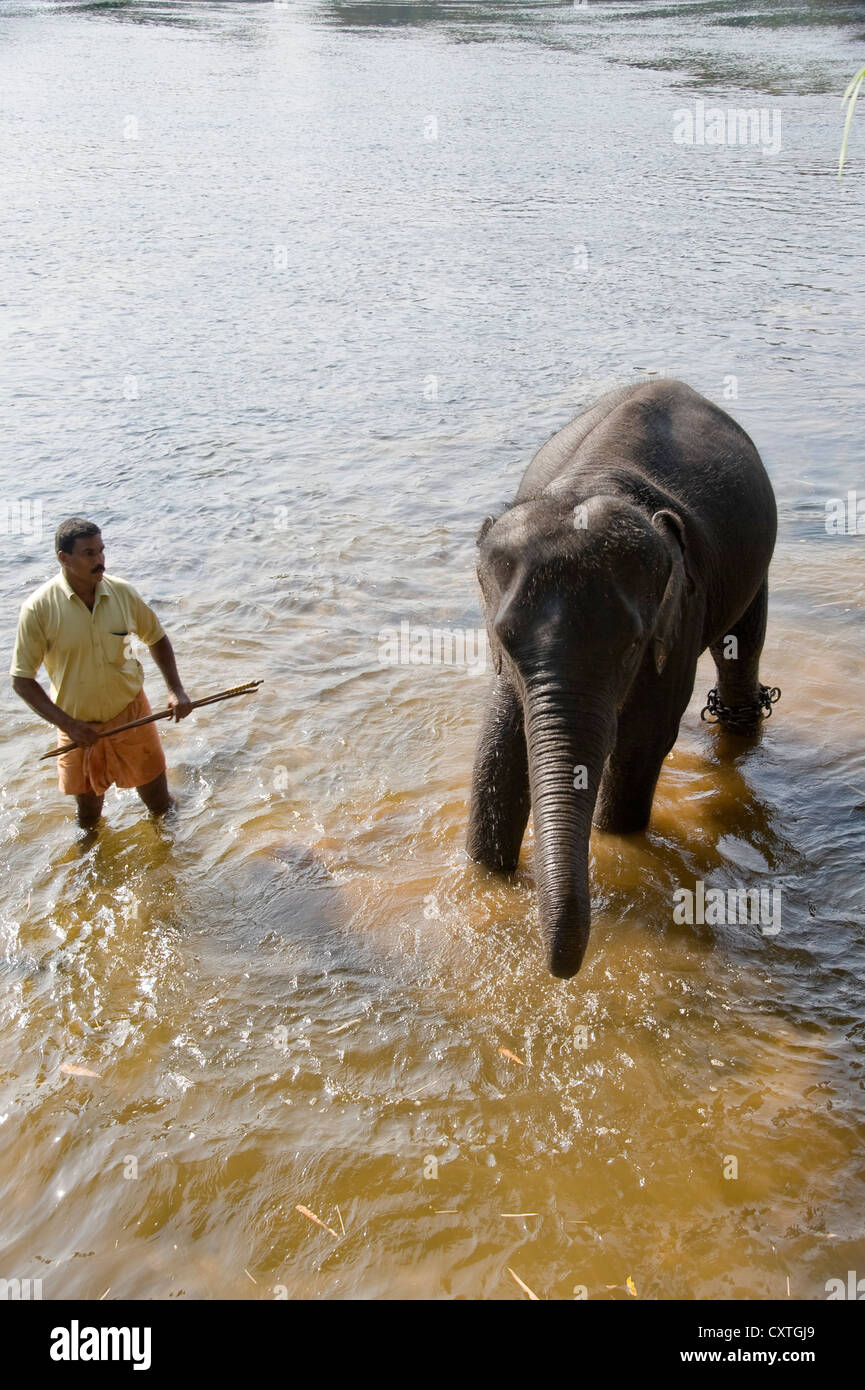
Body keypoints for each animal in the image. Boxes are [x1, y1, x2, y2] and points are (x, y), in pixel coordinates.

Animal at [470, 380, 784, 978]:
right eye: (503, 637)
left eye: (633, 645)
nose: (560, 972)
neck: (591, 483)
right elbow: (498, 744)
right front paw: (484, 874)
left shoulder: (678, 613)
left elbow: (642, 743)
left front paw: (614, 840)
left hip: (753, 566)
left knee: (741, 645)